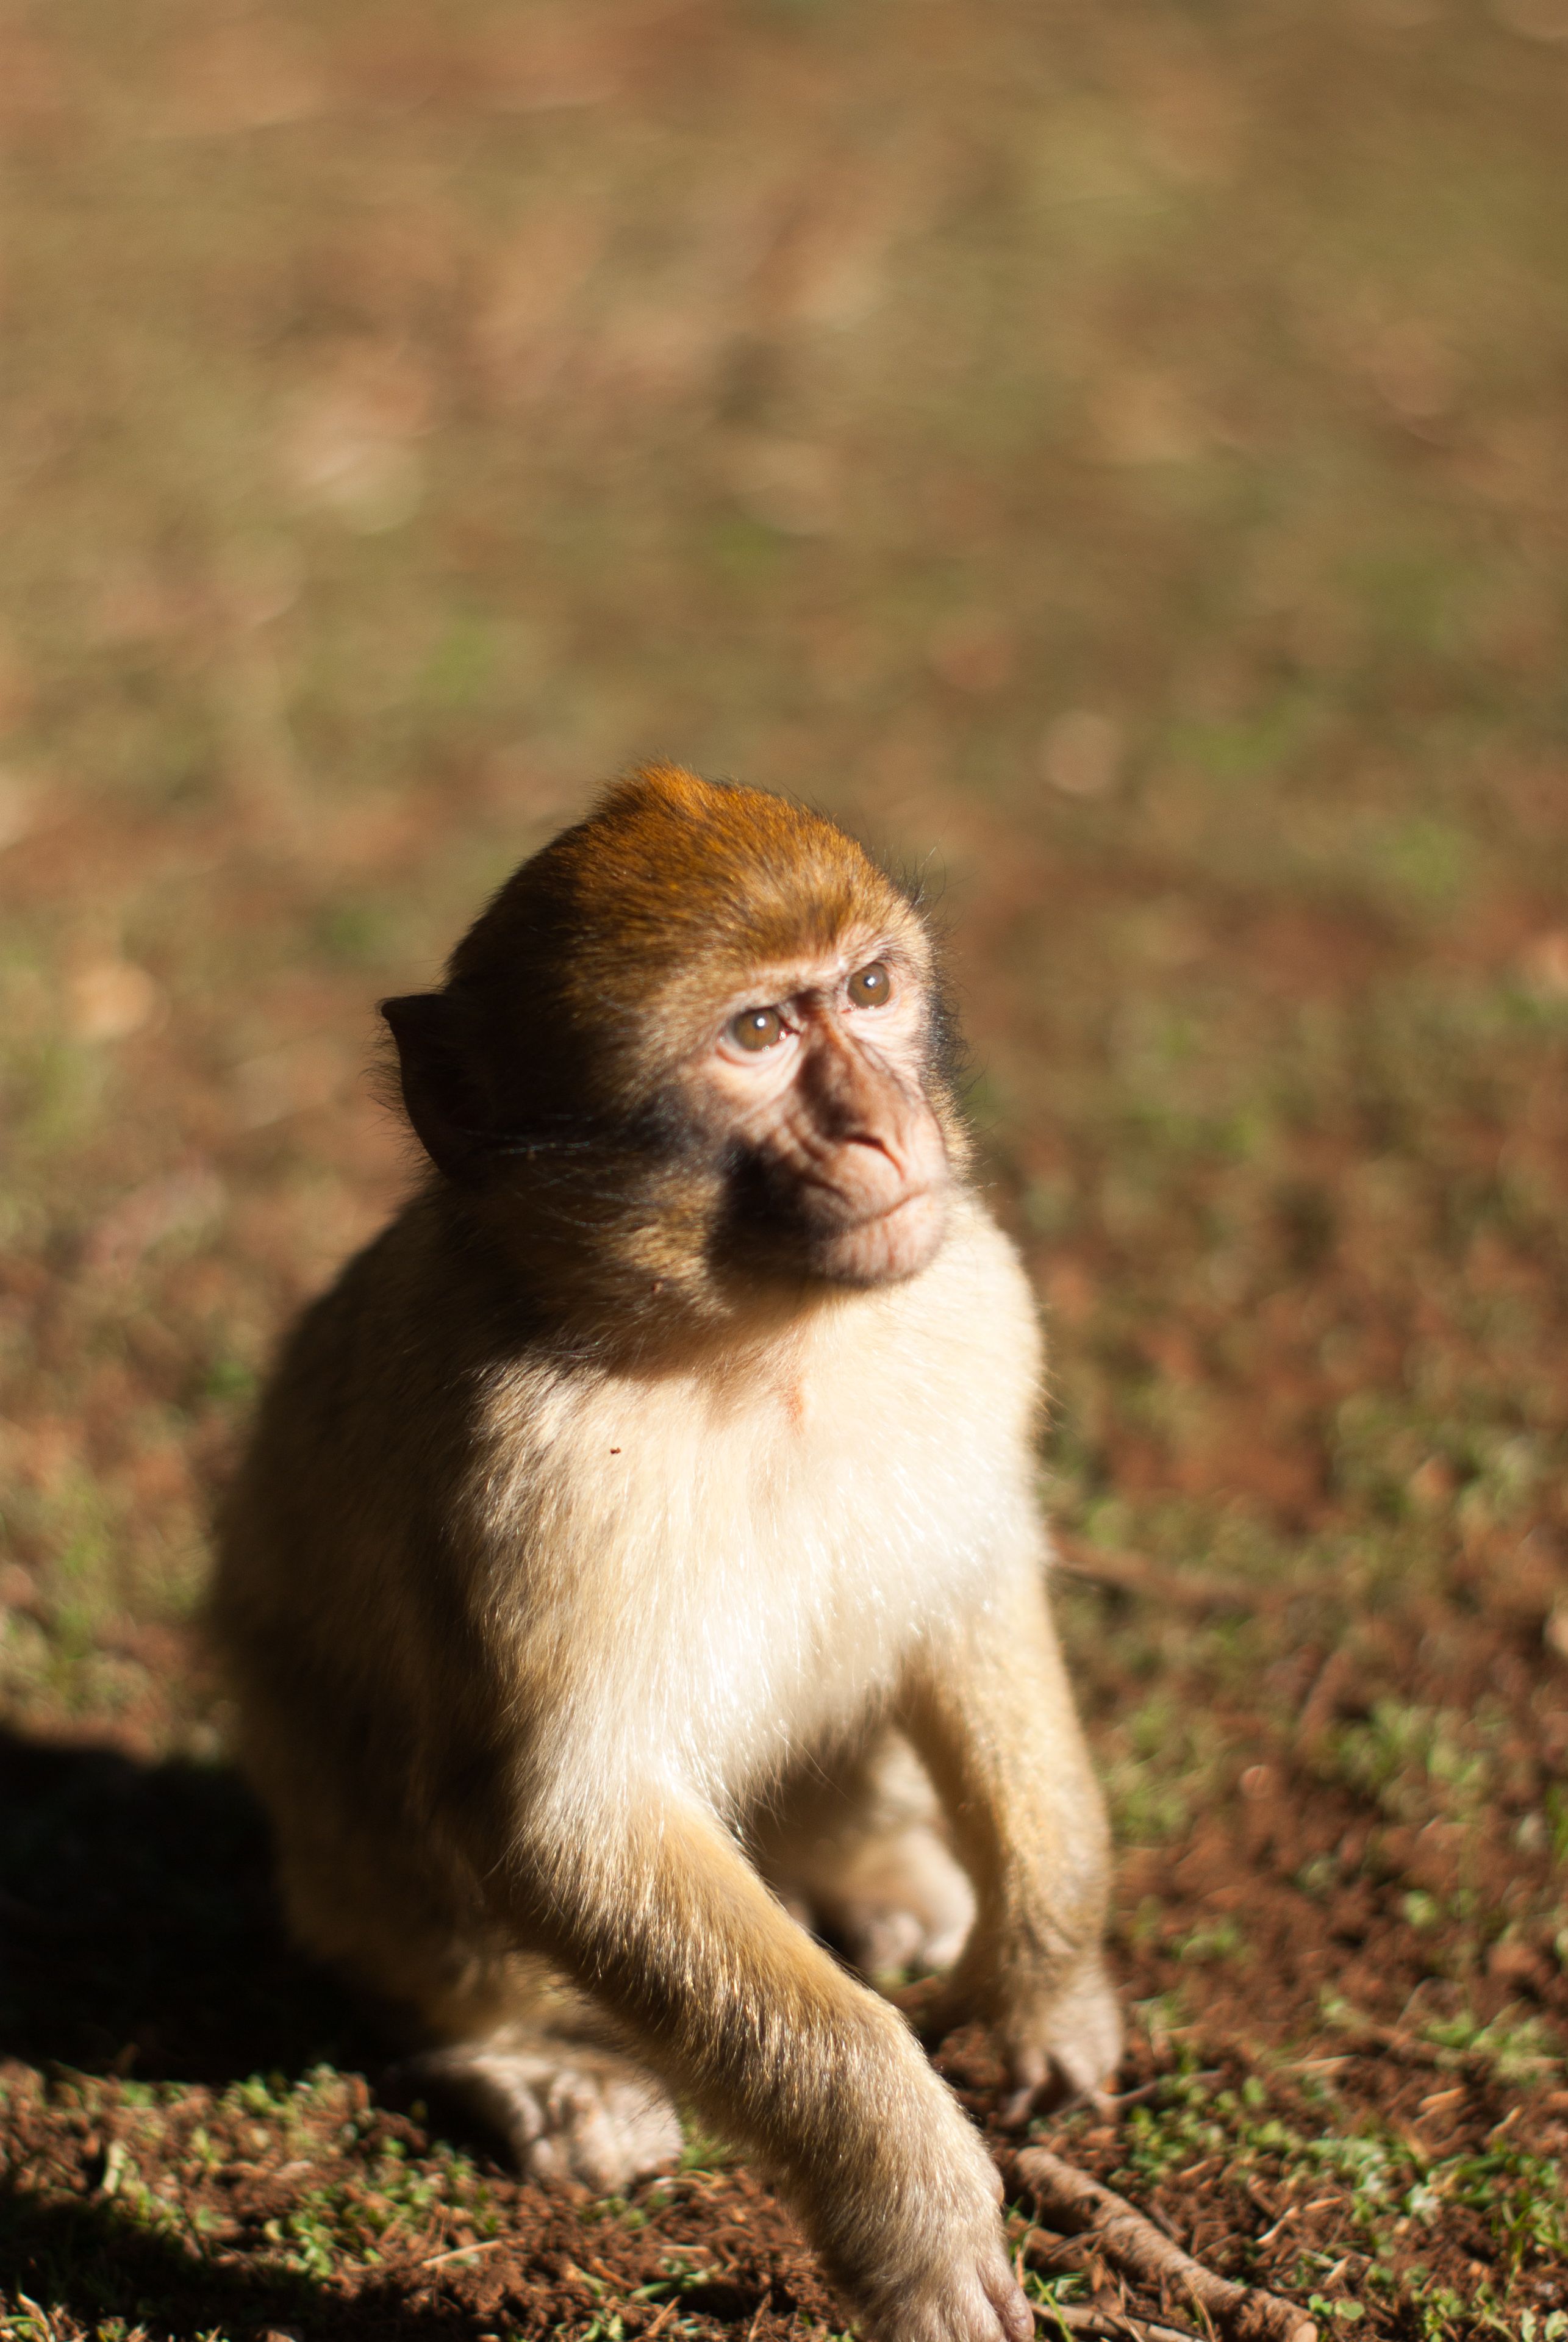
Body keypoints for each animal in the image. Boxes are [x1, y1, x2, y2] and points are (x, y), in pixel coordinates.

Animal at [212, 763, 1120, 2342]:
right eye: (755, 1036)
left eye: (867, 990)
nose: (883, 1128)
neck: (772, 1340)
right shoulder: (525, 1458)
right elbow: (565, 1817)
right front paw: (908, 2192)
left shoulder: (976, 1296)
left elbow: (973, 1592)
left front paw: (1048, 1980)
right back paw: (517, 2054)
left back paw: (885, 1876)